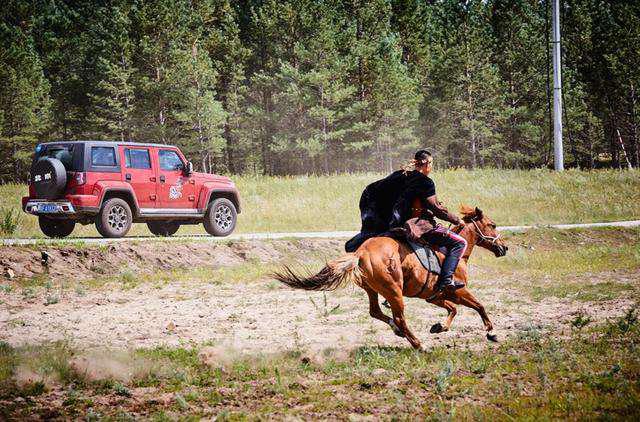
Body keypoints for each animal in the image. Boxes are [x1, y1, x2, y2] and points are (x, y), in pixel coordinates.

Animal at [276, 205, 510, 350]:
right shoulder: (458, 290)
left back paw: (399, 331)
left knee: (375, 311)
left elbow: (453, 309)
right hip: (394, 291)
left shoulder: (435, 296)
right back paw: (419, 345)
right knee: (399, 318)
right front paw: (491, 333)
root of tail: (360, 253)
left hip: (373, 289)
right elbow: (479, 306)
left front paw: (439, 327)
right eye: (493, 225)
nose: (504, 247)